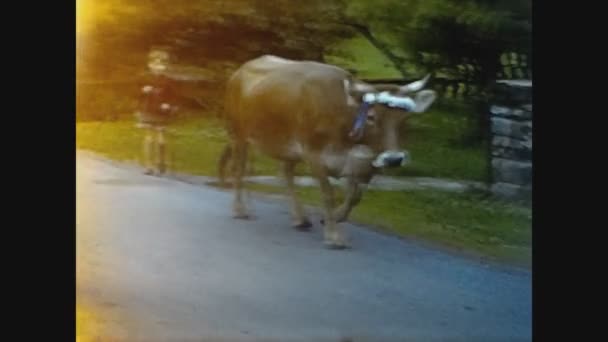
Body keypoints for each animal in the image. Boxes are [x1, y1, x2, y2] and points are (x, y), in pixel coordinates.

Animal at [221, 55, 434, 248]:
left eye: (405, 119)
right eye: (372, 117)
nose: (394, 159)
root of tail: (241, 69)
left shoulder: (364, 163)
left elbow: (355, 196)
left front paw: (335, 218)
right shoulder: (314, 154)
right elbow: (328, 194)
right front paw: (333, 236)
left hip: (286, 146)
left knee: (283, 173)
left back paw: (298, 217)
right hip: (239, 134)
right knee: (239, 168)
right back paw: (241, 209)